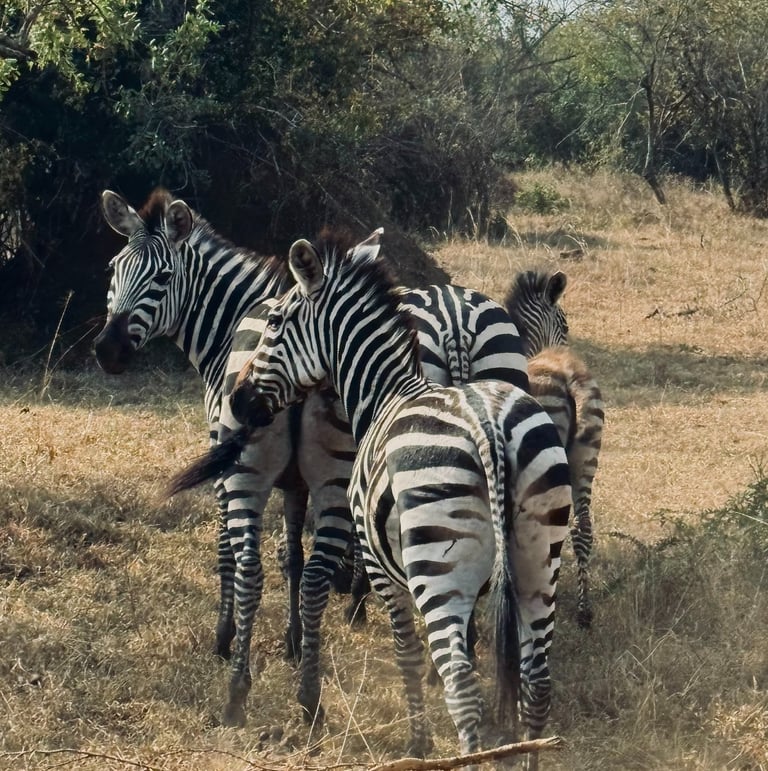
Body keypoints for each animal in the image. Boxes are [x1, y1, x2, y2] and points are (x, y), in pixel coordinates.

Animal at [95, 189, 530, 727]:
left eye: (162, 277)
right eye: (114, 268)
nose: (107, 351)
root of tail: (455, 320)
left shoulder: (228, 465)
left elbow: (236, 553)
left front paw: (231, 638)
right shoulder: (298, 483)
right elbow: (294, 559)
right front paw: (296, 641)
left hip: (274, 474)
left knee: (257, 563)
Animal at [228, 229, 571, 767]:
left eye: (278, 323)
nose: (239, 401)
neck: (386, 392)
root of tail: (490, 427)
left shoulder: (381, 565)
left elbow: (406, 651)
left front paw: (417, 742)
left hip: (436, 567)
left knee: (461, 686)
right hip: (540, 558)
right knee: (536, 683)